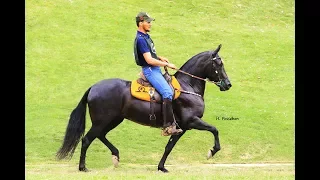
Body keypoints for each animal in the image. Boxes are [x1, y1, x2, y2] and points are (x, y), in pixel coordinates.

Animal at [56, 44, 231, 173]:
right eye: (219, 63)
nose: (228, 84)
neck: (187, 86)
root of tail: (93, 87)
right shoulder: (192, 121)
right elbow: (214, 130)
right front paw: (211, 152)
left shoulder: (181, 127)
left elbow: (169, 147)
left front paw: (161, 167)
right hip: (102, 121)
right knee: (87, 139)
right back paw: (83, 167)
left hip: (114, 120)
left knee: (100, 135)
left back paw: (115, 156)